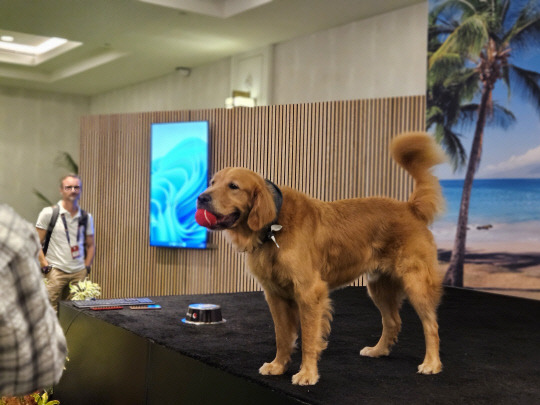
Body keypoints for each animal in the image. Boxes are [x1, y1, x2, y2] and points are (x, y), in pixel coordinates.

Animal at [196, 131, 446, 384]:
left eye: (233, 186)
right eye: (213, 183)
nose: (201, 197)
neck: (274, 226)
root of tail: (410, 208)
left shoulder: (309, 292)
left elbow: (308, 338)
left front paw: (307, 373)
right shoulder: (275, 295)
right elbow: (282, 337)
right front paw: (278, 365)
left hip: (416, 283)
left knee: (432, 326)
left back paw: (431, 363)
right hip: (378, 287)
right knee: (393, 321)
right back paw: (378, 350)